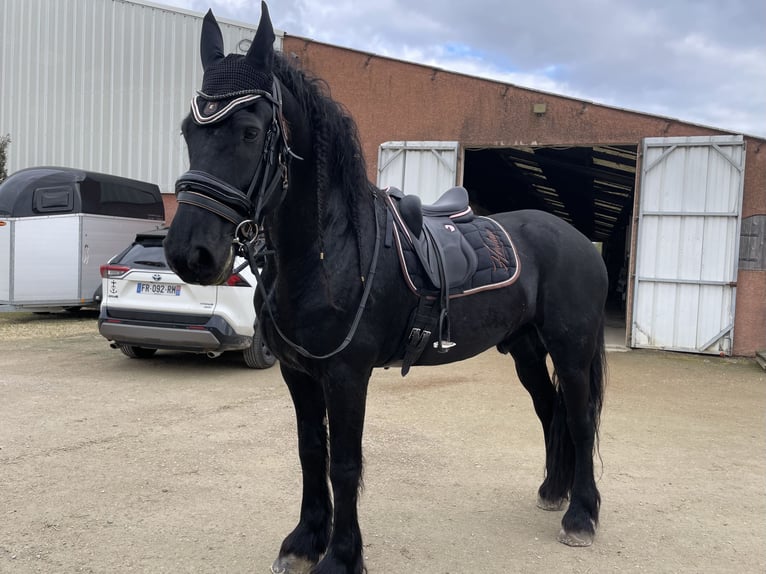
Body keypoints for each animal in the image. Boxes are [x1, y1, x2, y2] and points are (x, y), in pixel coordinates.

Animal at [166, 3, 612, 572]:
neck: (328, 251)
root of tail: (578, 240)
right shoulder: (298, 373)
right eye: (189, 130)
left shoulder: (346, 374)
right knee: (549, 409)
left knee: (578, 416)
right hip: (526, 349)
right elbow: (310, 452)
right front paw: (304, 541)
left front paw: (341, 556)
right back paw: (554, 491)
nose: (189, 253)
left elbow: (345, 463)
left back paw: (581, 515)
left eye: (248, 131)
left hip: (571, 349)